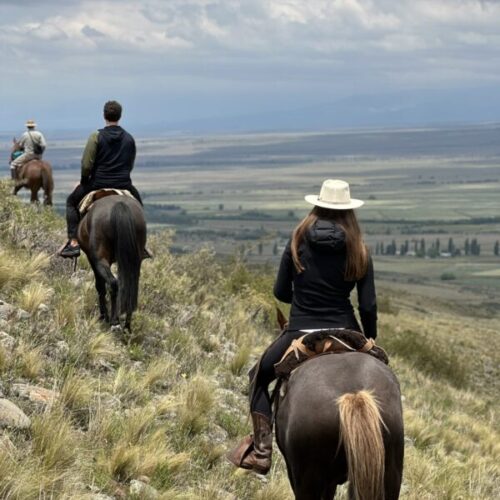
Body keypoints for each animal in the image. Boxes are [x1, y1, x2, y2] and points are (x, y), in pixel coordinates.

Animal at [77, 195, 146, 332]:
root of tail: (120, 205)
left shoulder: (92, 259)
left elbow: (100, 286)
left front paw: (103, 316)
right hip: (134, 260)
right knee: (130, 286)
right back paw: (127, 326)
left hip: (100, 259)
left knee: (113, 284)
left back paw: (114, 321)